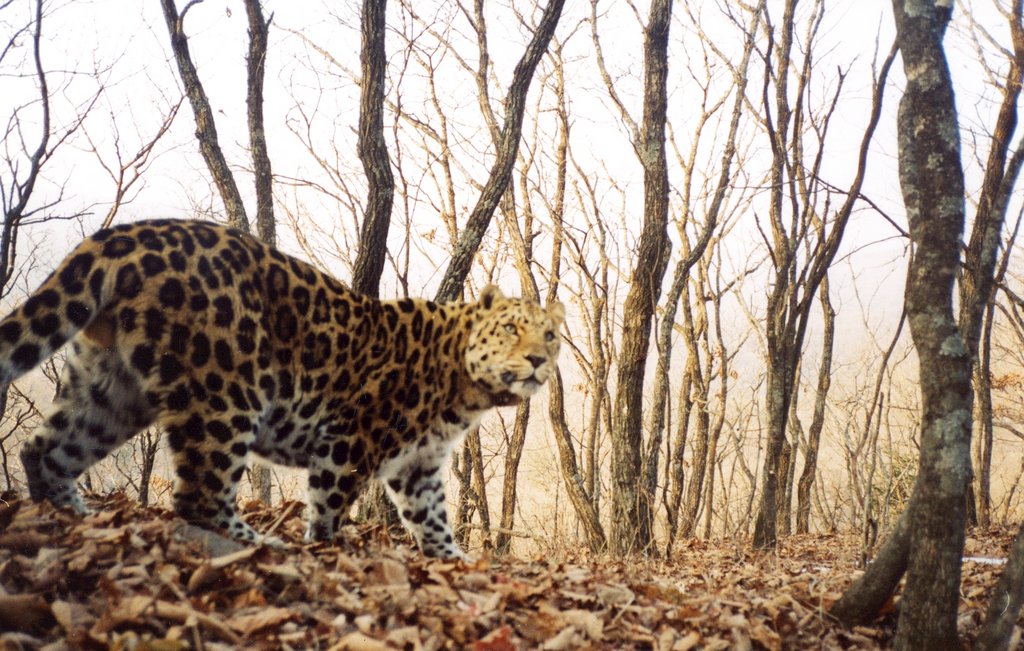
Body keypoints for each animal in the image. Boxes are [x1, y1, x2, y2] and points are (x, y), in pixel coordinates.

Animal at [4, 220, 565, 560]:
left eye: (551, 336)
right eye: (512, 328)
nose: (539, 360)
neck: (466, 388)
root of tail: (124, 234)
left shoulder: (419, 464)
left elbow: (432, 518)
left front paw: (453, 559)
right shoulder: (349, 441)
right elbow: (330, 504)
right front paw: (325, 548)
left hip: (110, 390)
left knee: (45, 449)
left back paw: (70, 514)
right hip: (228, 390)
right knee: (199, 493)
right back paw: (261, 545)